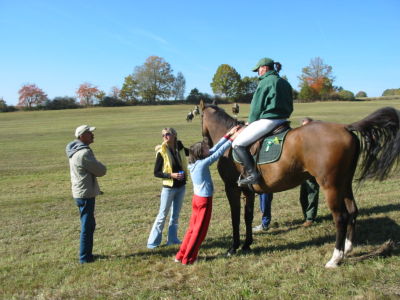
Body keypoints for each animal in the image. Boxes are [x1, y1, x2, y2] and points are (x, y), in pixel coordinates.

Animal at [199, 101, 400, 268]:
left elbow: (235, 218)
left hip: (331, 186)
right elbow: (247, 217)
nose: (205, 143)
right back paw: (348, 248)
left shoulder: (232, 188)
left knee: (341, 217)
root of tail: (345, 127)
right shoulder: (247, 191)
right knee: (352, 211)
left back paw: (335, 258)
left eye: (199, 116)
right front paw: (247, 244)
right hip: (345, 183)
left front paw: (233, 248)